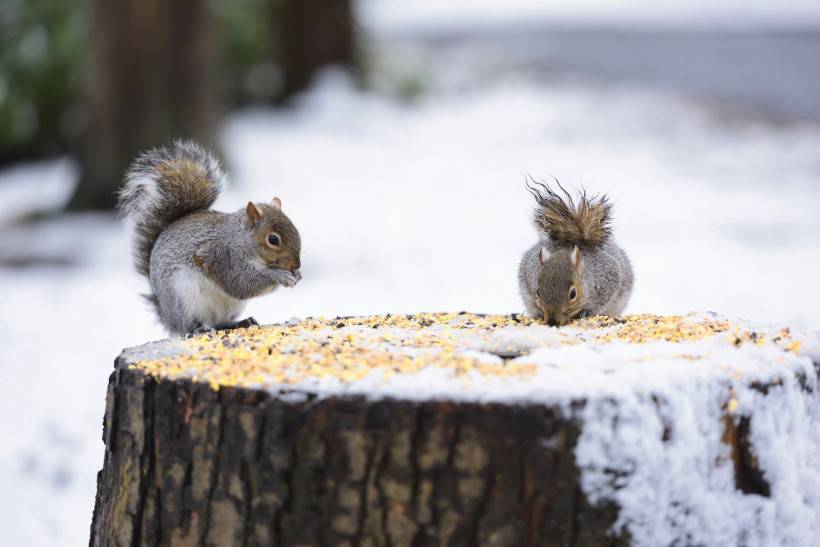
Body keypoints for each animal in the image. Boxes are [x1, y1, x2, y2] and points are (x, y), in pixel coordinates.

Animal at [118, 139, 302, 336]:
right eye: (273, 239)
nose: (296, 265)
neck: (242, 240)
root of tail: (167, 317)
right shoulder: (222, 256)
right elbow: (242, 283)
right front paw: (280, 275)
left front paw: (297, 275)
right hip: (184, 299)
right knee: (190, 326)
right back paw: (199, 329)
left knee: (221, 322)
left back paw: (240, 322)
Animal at [520, 179, 636, 326]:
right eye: (538, 291)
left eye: (573, 294)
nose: (552, 321)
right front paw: (539, 313)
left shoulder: (609, 279)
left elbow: (600, 304)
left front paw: (586, 312)